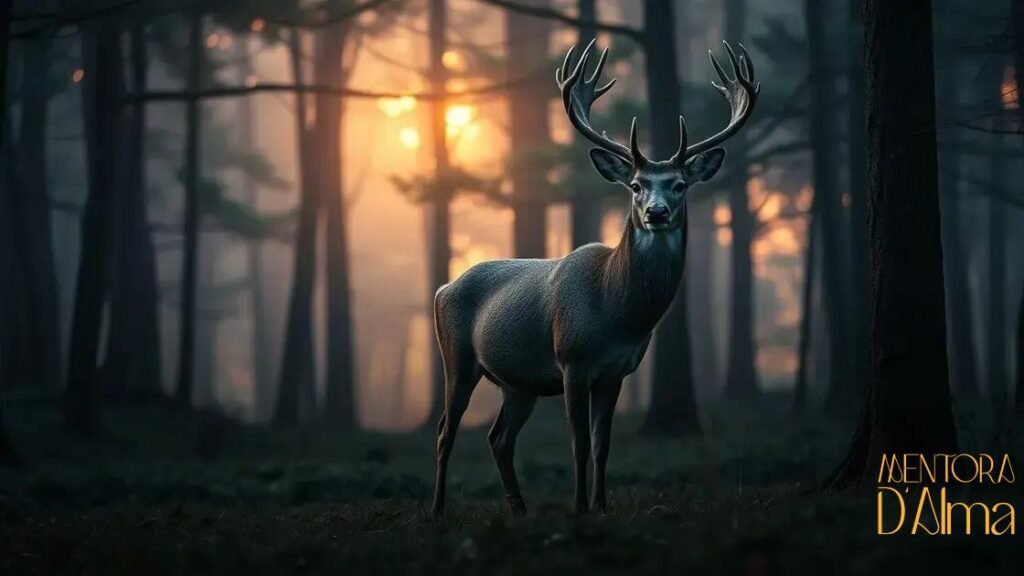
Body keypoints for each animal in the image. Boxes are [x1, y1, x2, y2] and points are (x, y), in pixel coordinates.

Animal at [431, 40, 759, 516]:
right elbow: (580, 444)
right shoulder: (572, 360)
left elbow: (604, 445)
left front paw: (602, 506)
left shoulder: (616, 371)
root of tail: (442, 288)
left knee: (499, 438)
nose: (656, 212)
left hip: (519, 383)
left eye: (679, 185)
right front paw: (580, 508)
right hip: (457, 359)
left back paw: (519, 509)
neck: (616, 311)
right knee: (445, 432)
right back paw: (438, 509)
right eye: (636, 185)